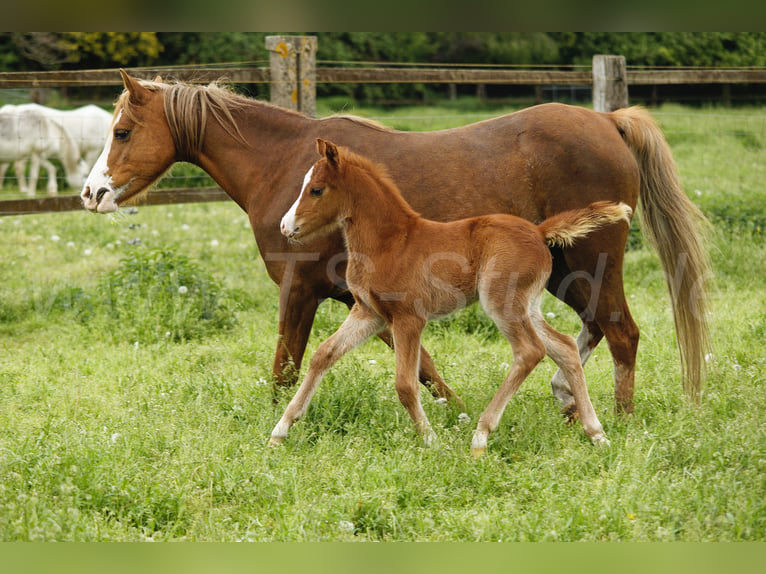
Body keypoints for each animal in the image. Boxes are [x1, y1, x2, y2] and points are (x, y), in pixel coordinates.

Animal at [272, 140, 632, 454]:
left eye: (316, 189)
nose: (285, 227)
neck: (389, 242)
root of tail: (539, 231)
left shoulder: (408, 318)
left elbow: (405, 384)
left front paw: (431, 440)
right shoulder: (368, 312)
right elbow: (323, 355)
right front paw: (280, 431)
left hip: (501, 302)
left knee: (530, 351)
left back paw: (481, 436)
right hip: (527, 305)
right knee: (565, 347)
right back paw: (597, 433)